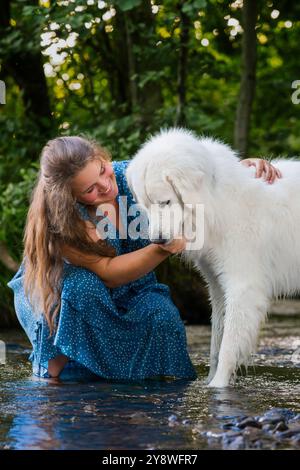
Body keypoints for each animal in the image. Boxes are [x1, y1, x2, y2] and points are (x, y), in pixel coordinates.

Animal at [126, 126, 300, 388]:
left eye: (165, 201)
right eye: (146, 206)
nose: (157, 240)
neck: (217, 201)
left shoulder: (242, 288)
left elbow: (228, 345)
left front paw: (218, 386)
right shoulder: (217, 287)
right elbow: (216, 340)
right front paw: (208, 381)